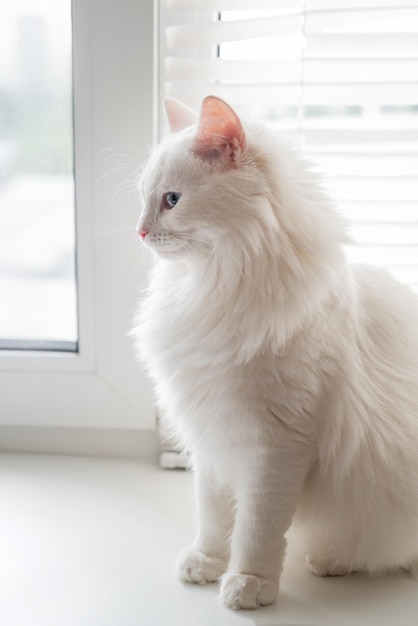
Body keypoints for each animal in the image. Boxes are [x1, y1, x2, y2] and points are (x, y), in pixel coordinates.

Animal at [133, 95, 418, 608]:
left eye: (172, 200)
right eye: (145, 198)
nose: (140, 232)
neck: (212, 287)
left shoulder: (277, 445)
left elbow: (257, 529)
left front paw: (248, 585)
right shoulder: (212, 436)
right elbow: (214, 519)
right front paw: (206, 564)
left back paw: (329, 562)